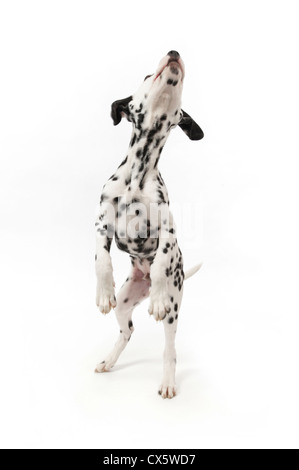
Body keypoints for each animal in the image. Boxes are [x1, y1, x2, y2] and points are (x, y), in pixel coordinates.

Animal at [95, 50, 205, 396]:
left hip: (174, 306)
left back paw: (168, 381)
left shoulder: (167, 231)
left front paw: (156, 295)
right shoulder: (101, 223)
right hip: (125, 302)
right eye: (146, 76)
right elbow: (102, 260)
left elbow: (159, 265)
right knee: (127, 330)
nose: (174, 53)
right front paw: (103, 293)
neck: (139, 172)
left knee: (169, 348)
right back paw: (108, 360)